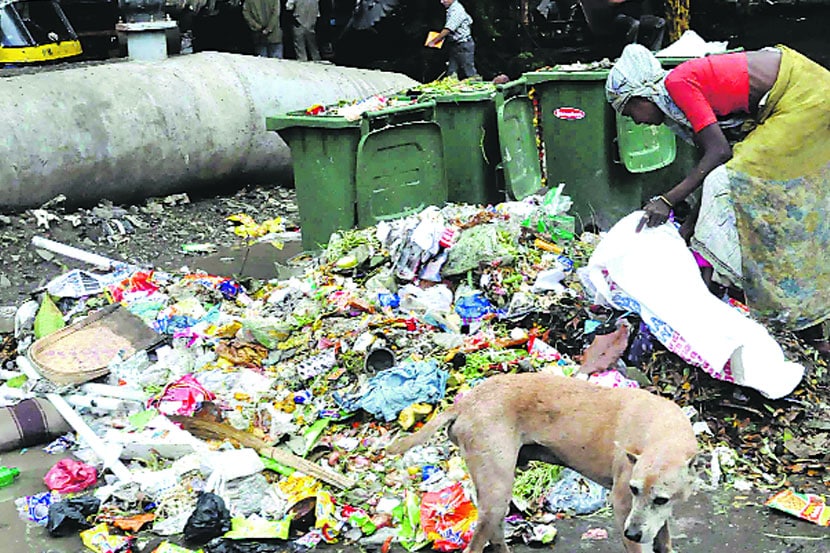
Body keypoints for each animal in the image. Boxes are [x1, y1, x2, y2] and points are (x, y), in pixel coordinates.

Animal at [386, 370, 700, 552]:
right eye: (634, 490)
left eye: (660, 499)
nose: (633, 533)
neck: (663, 433)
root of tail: (464, 403)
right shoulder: (624, 506)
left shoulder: (657, 516)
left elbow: (663, 536)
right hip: (497, 491)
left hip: (494, 495)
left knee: (496, 533)